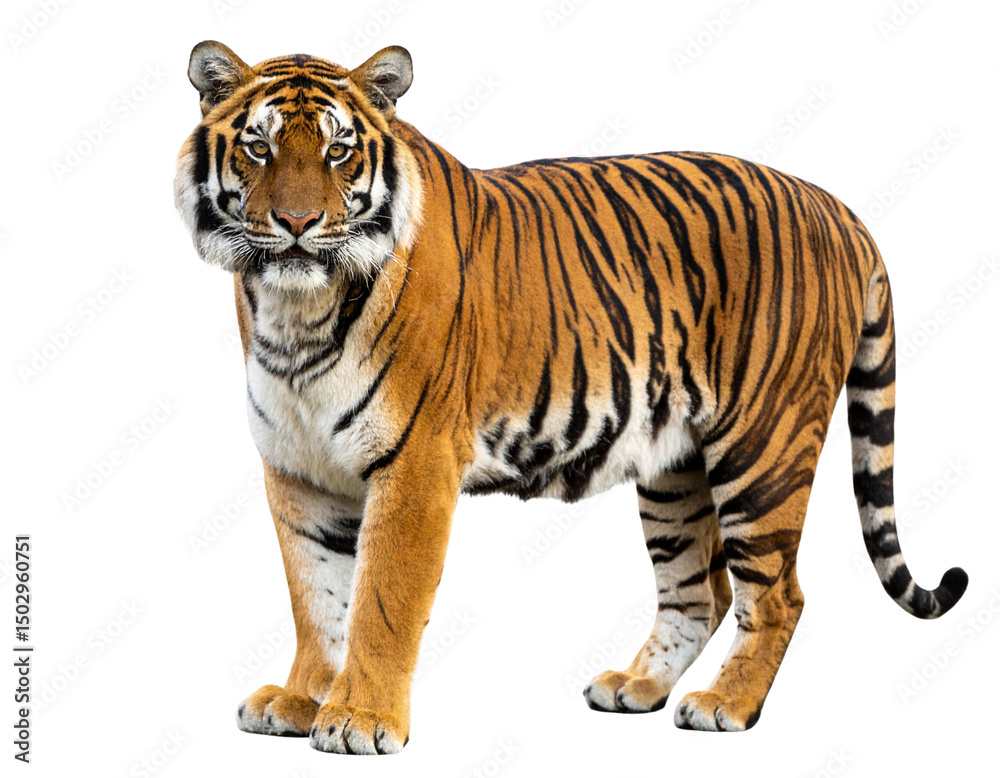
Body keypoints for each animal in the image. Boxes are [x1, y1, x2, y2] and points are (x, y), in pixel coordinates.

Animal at [174, 41, 968, 754]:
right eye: (258, 148)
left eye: (338, 153)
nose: (296, 225)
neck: (295, 314)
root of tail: (838, 207)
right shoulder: (298, 469)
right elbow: (317, 598)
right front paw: (303, 699)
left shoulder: (415, 467)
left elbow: (381, 602)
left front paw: (360, 719)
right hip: (674, 466)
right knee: (699, 589)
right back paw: (637, 689)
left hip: (763, 446)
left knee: (776, 594)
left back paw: (726, 706)